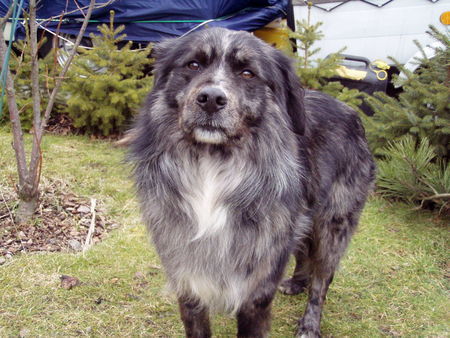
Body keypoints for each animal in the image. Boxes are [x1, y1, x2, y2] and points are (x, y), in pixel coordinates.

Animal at [127, 27, 376, 336]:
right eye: (193, 65)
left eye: (248, 73)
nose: (211, 99)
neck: (213, 166)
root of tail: (352, 111)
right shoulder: (188, 278)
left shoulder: (256, 290)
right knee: (303, 251)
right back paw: (297, 282)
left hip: (333, 227)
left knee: (321, 281)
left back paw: (310, 322)